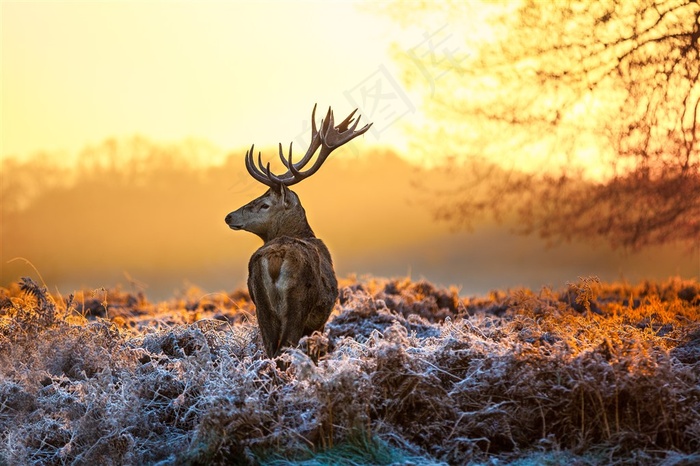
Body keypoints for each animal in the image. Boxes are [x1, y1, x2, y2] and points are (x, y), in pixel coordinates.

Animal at [224, 105, 372, 358]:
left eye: (264, 204)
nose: (229, 216)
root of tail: (275, 258)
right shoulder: (319, 322)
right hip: (298, 305)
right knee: (285, 347)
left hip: (261, 306)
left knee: (270, 349)